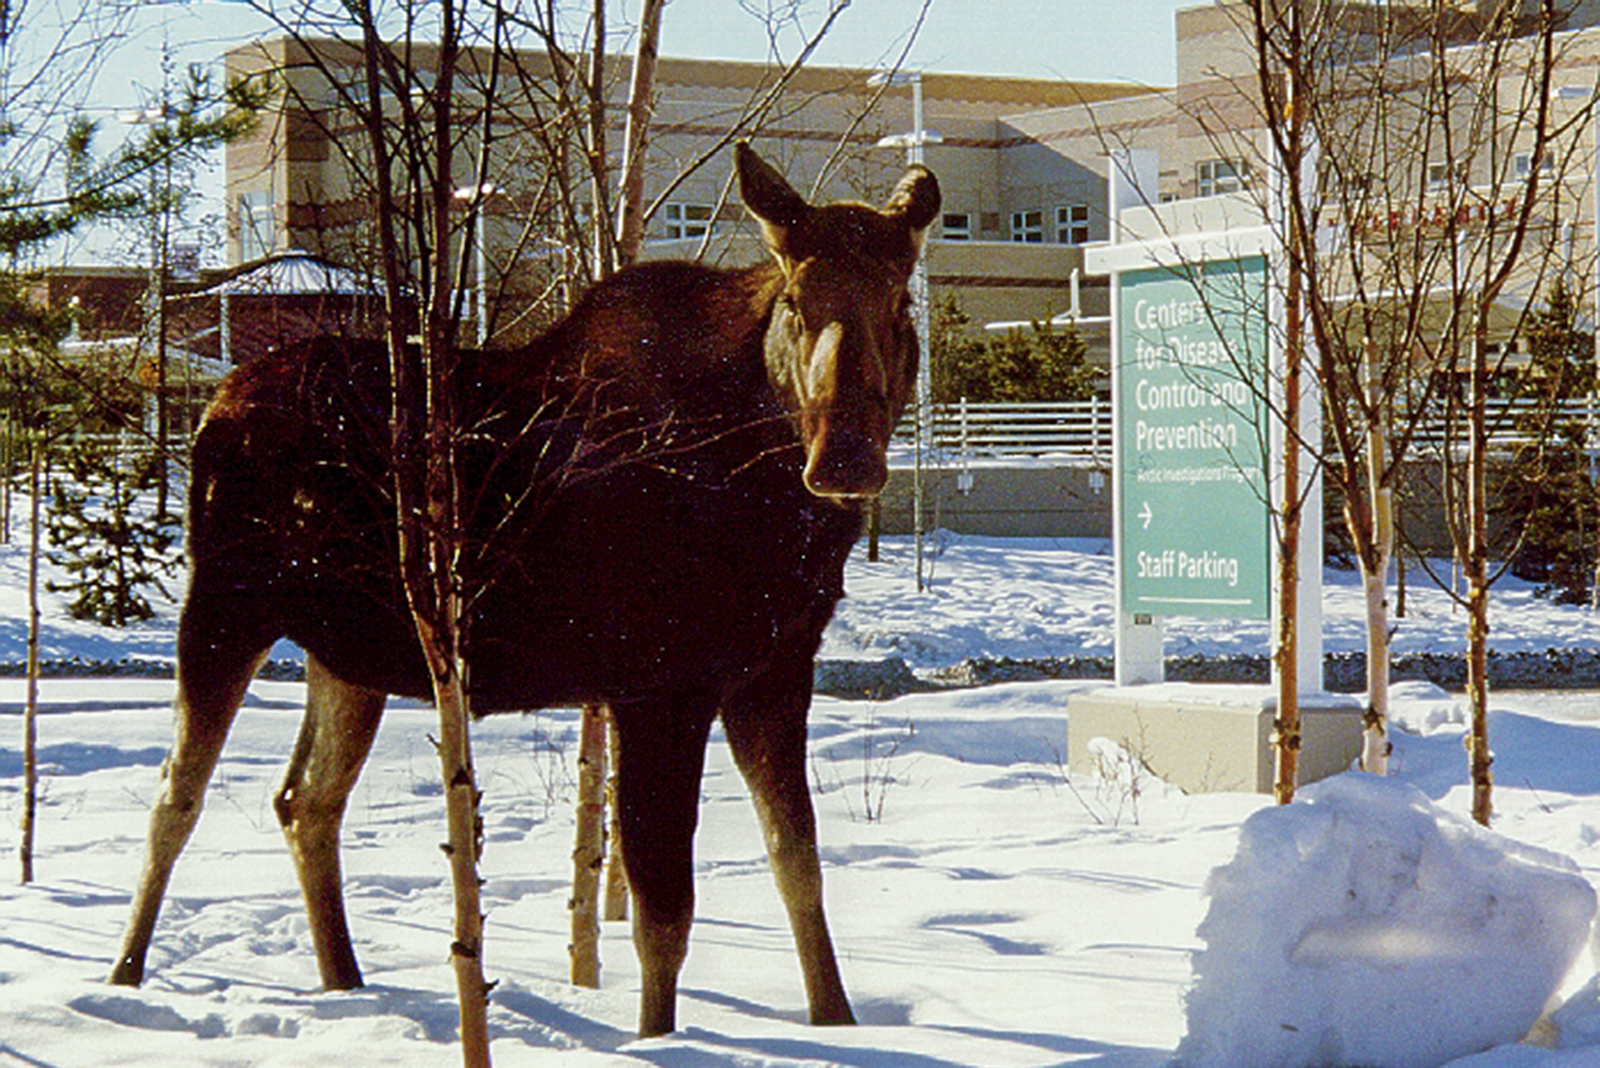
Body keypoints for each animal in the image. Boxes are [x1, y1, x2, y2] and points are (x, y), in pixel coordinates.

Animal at [109, 146, 934, 1036]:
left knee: (306, 800)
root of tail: (215, 407)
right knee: (176, 795)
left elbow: (798, 863)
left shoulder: (776, 670)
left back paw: (346, 983)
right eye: (793, 300)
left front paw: (838, 1022)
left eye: (902, 298)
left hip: (351, 651)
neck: (777, 501)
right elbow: (664, 910)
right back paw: (123, 979)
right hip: (227, 602)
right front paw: (657, 1038)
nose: (846, 456)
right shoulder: (660, 685)